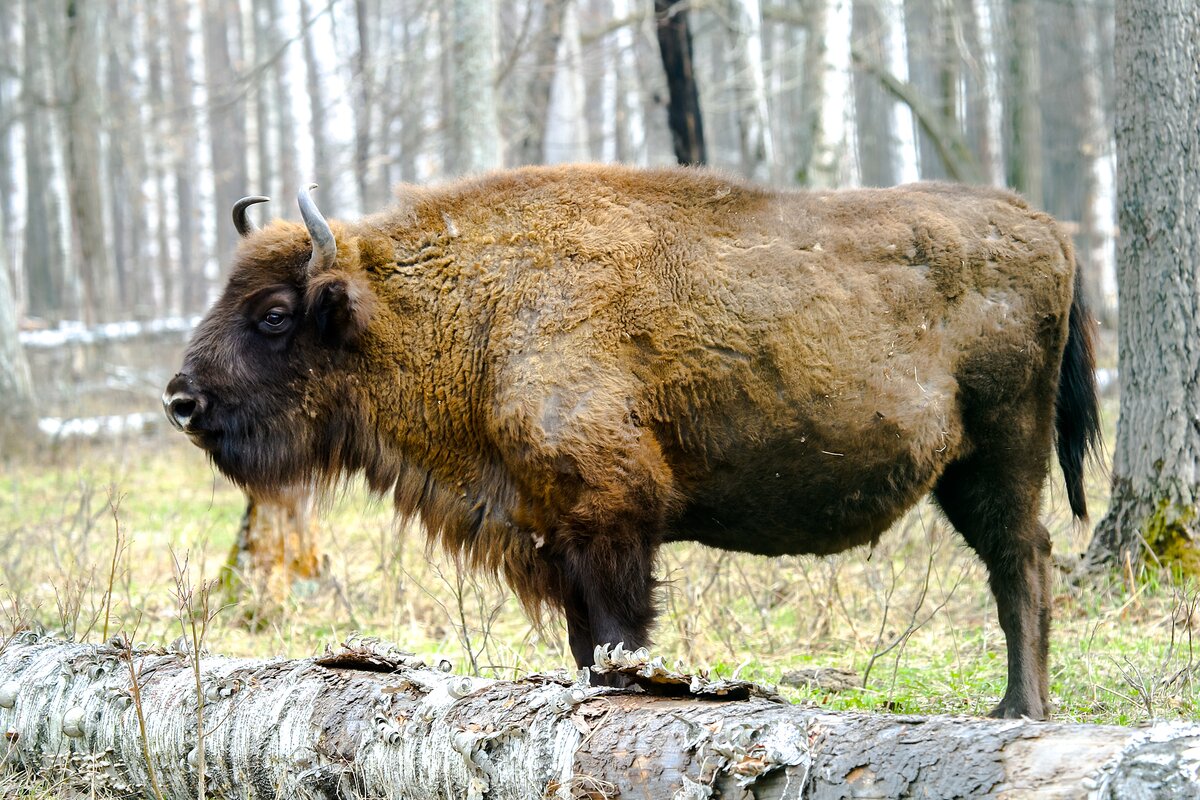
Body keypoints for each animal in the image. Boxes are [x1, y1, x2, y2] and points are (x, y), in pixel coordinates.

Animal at [166, 164, 1099, 719]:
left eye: (273, 314)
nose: (180, 399)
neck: (472, 313)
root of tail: (1049, 228)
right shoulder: (557, 540)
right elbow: (585, 647)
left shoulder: (613, 527)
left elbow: (621, 641)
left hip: (1002, 453)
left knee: (1023, 561)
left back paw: (1019, 710)